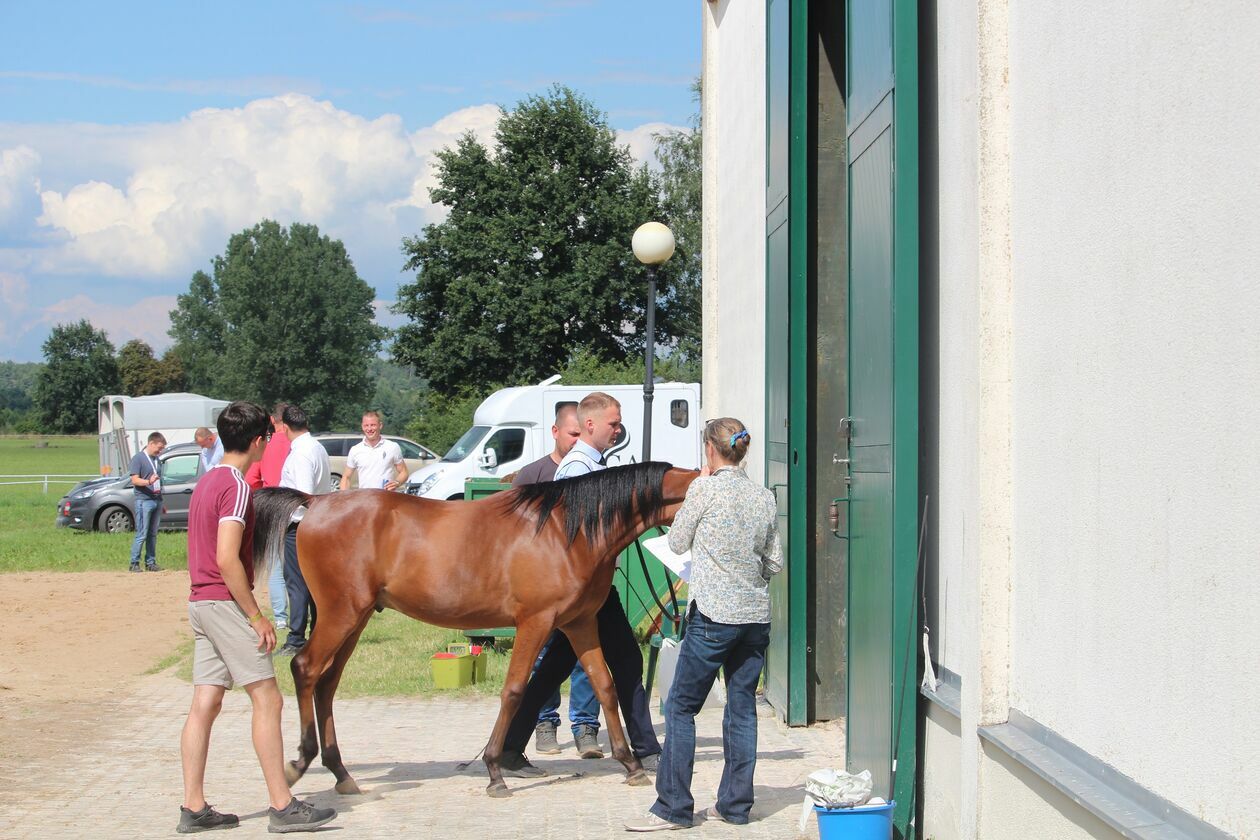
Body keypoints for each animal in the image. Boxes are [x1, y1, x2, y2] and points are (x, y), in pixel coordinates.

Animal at [249, 463, 695, 800]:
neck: (565, 530)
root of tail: (316, 502)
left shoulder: (579, 623)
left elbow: (604, 684)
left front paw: (631, 763)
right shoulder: (536, 622)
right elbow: (514, 690)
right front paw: (495, 771)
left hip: (353, 621)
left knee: (326, 684)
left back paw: (341, 773)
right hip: (340, 615)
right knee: (306, 669)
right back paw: (299, 763)